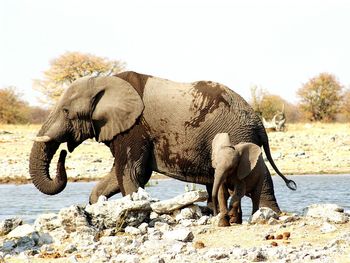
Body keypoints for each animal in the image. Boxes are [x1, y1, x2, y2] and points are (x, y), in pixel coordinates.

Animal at [29, 70, 296, 212]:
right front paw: (96, 205)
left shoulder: (134, 127)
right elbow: (119, 175)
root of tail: (259, 124)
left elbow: (132, 173)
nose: (64, 153)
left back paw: (268, 214)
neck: (104, 81)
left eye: (66, 111)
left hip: (239, 135)